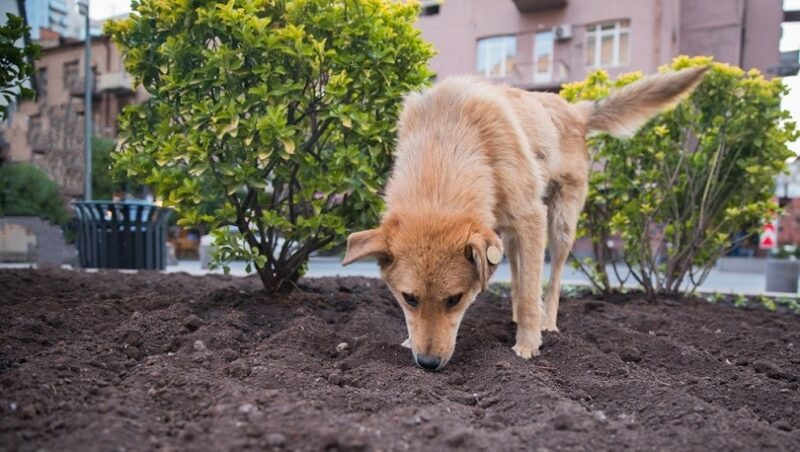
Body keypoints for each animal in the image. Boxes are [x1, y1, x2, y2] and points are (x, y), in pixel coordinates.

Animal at [344, 67, 708, 370]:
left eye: (455, 300)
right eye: (409, 298)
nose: (428, 364)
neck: (445, 141)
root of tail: (574, 110)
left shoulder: (532, 217)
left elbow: (534, 286)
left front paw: (529, 344)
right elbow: (522, 282)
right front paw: (408, 339)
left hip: (560, 222)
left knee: (552, 275)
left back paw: (546, 320)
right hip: (506, 232)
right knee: (520, 275)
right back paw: (518, 313)